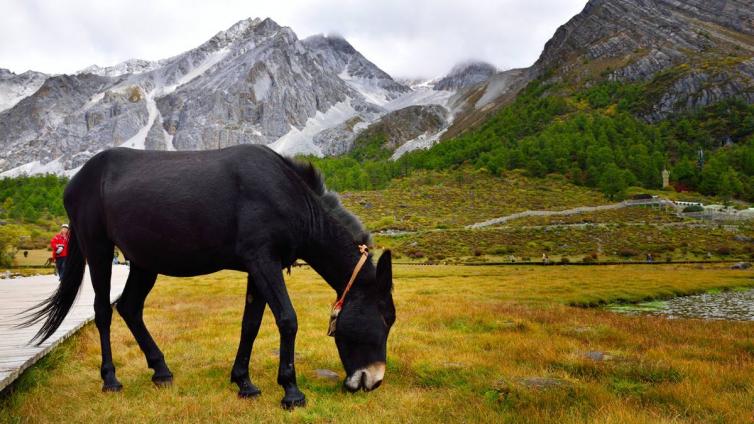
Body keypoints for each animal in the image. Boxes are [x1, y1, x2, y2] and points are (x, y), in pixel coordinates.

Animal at [21, 145, 396, 408]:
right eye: (384, 318)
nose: (374, 380)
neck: (287, 194)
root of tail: (78, 178)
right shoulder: (263, 262)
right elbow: (287, 319)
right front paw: (291, 390)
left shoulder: (259, 268)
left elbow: (250, 324)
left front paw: (244, 382)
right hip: (99, 250)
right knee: (103, 311)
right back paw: (110, 379)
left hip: (144, 262)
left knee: (129, 307)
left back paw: (161, 370)